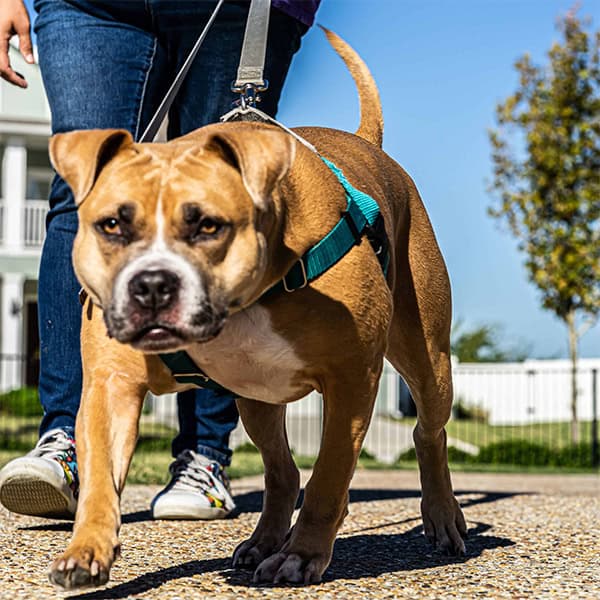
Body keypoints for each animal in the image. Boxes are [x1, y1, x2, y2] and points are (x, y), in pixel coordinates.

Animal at [48, 30, 468, 588]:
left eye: (209, 225)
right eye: (111, 224)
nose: (152, 285)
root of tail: (367, 142)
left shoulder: (353, 378)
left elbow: (330, 476)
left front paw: (303, 554)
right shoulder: (110, 384)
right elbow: (99, 477)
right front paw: (87, 549)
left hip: (429, 361)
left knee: (428, 431)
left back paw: (441, 515)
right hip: (255, 398)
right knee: (283, 472)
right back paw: (263, 541)